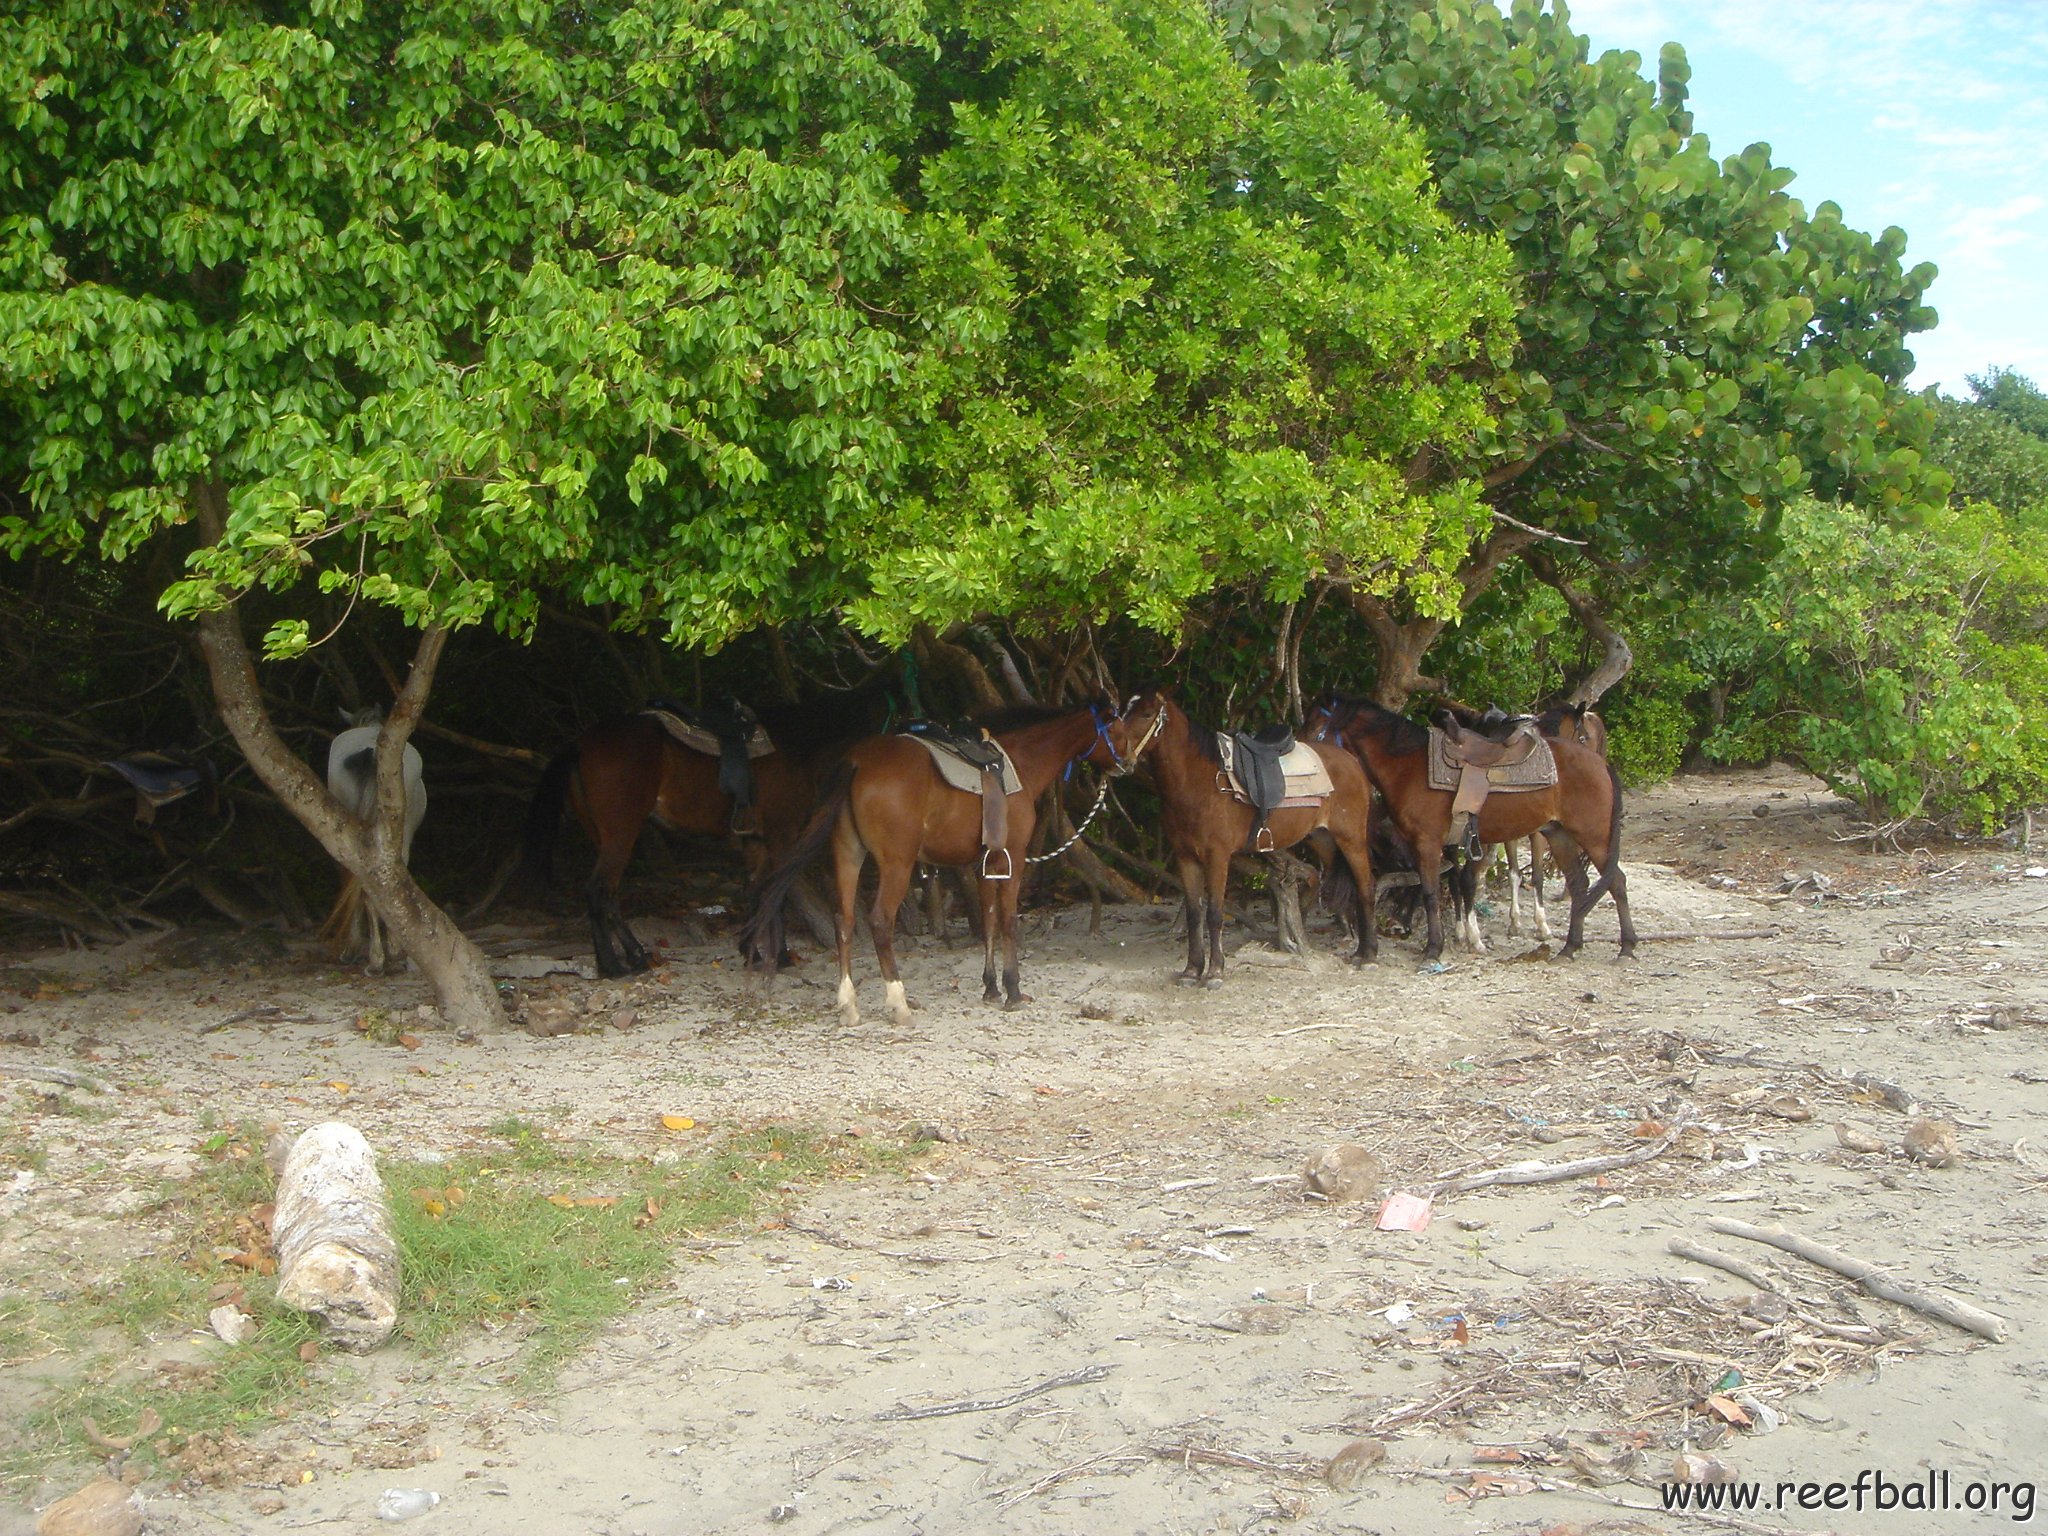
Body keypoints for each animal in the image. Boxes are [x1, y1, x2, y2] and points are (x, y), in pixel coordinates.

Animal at [737, 704, 1138, 1028]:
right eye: (1118, 730)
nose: (1129, 762)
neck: (1021, 762)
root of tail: (857, 762)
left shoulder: (984, 863)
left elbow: (988, 920)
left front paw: (990, 988)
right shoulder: (1013, 856)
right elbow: (1008, 921)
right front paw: (1012, 990)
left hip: (848, 855)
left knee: (843, 922)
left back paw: (849, 1006)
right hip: (896, 864)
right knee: (880, 921)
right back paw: (898, 1004)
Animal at [1114, 692, 1384, 991]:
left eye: (1146, 714)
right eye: (1123, 711)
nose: (1120, 759)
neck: (1197, 780)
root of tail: (1353, 763)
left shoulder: (1217, 856)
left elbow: (1214, 914)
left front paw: (1215, 972)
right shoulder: (1186, 858)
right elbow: (1194, 915)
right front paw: (1191, 971)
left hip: (1351, 839)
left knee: (1366, 887)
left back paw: (1369, 956)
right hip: (1324, 841)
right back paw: (1359, 951)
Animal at [1318, 696, 1638, 962]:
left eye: (1315, 726)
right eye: (1585, 735)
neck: (1408, 766)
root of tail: (1601, 766)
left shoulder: (1431, 842)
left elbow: (1437, 891)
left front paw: (1436, 948)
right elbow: (1455, 883)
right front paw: (1464, 937)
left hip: (1593, 836)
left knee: (1616, 881)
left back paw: (1626, 947)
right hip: (1561, 836)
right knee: (1581, 884)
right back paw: (1571, 947)